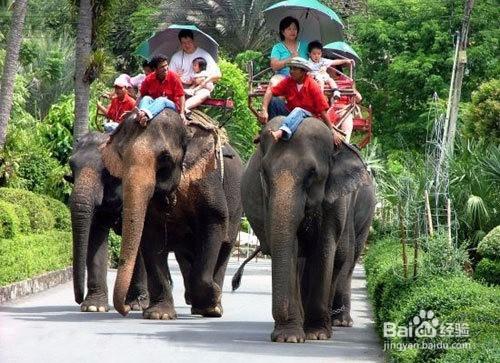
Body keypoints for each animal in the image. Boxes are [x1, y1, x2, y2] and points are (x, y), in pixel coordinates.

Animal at [67, 132, 147, 314]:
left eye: (107, 172)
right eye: (71, 165)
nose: (78, 299)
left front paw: (137, 305)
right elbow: (95, 236)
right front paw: (93, 307)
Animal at [101, 109, 242, 320]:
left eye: (165, 158)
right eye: (121, 156)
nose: (126, 309)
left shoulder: (207, 180)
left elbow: (214, 222)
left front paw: (213, 300)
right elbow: (150, 237)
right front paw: (159, 315)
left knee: (225, 247)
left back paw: (213, 307)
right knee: (186, 255)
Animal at [240, 117, 374, 344]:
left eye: (312, 173)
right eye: (264, 173)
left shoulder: (337, 201)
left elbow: (325, 248)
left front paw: (317, 334)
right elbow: (290, 247)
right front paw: (290, 337)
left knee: (346, 257)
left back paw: (339, 322)